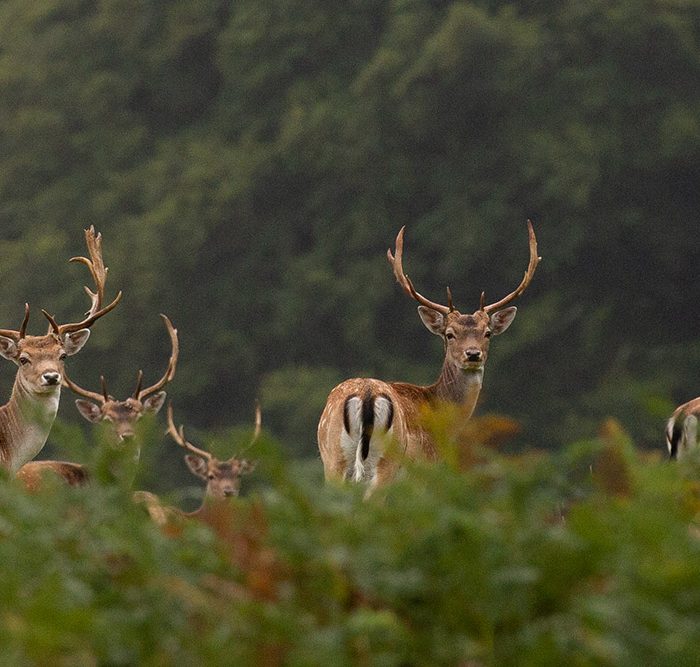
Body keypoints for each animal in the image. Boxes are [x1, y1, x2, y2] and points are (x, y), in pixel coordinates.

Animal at [318, 220, 540, 490]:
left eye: (487, 333)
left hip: (333, 459)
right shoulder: (425, 470)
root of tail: (366, 395)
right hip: (387, 463)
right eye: (449, 334)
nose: (473, 354)